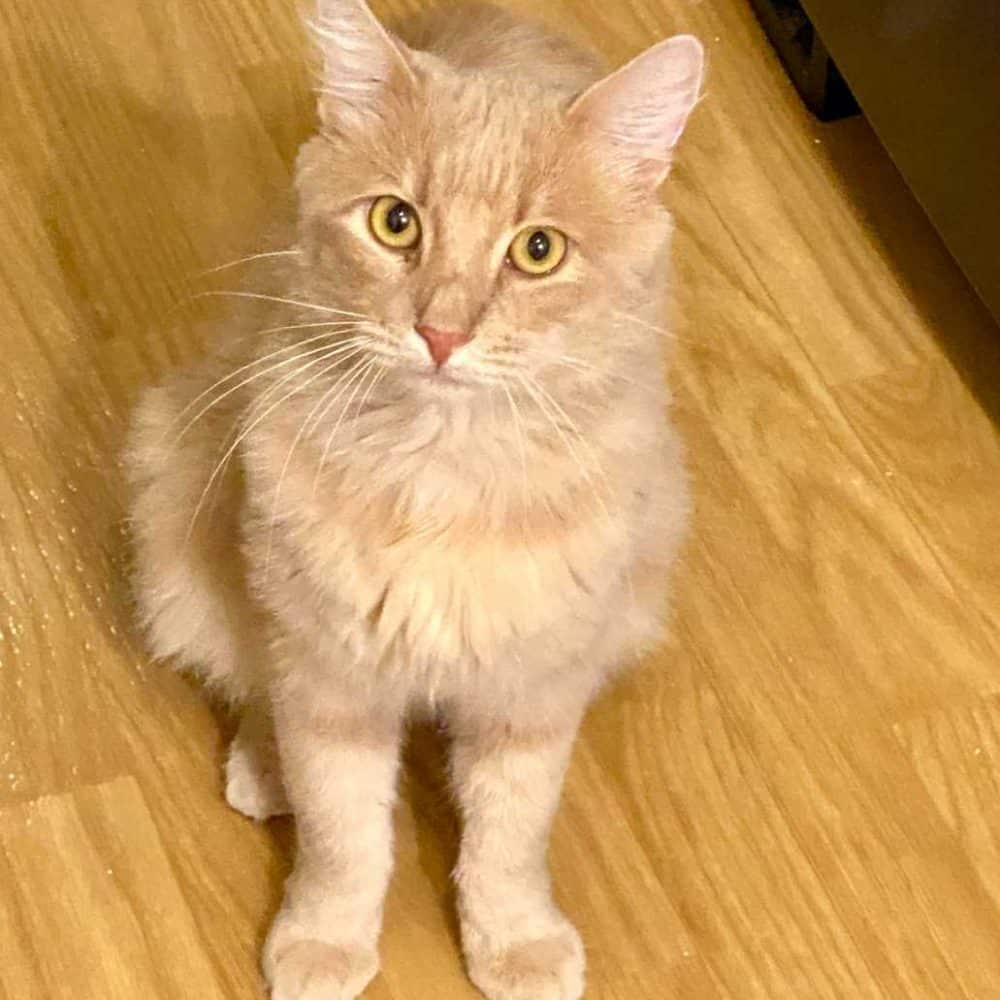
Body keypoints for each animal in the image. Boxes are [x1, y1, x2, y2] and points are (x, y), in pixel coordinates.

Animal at [126, 2, 702, 998]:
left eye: (538, 251)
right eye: (396, 224)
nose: (440, 332)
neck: (443, 473)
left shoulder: (533, 687)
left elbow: (510, 837)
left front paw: (515, 941)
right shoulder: (328, 675)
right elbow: (342, 834)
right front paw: (323, 939)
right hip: (184, 524)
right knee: (249, 677)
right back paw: (263, 766)